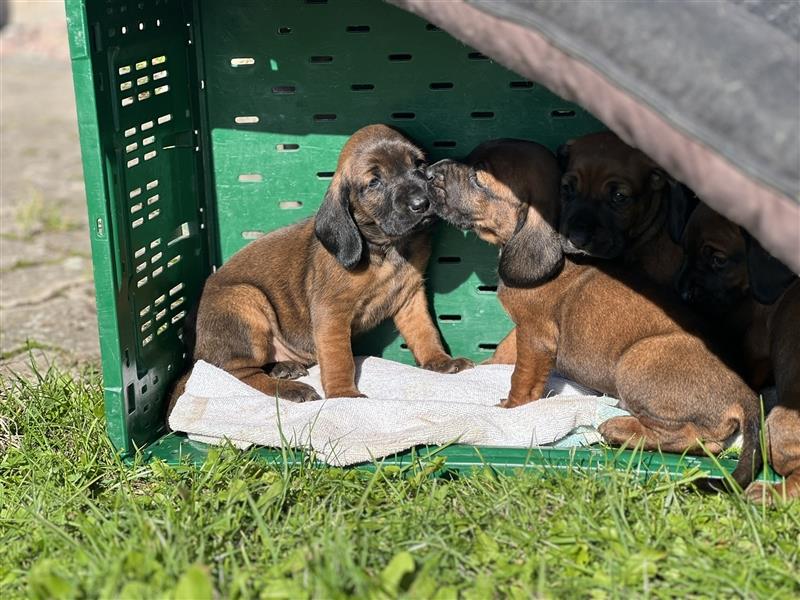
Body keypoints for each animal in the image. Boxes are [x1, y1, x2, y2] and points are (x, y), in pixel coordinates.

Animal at [169, 124, 468, 410]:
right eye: (374, 182)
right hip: (245, 298)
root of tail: (195, 351)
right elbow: (340, 359)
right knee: (237, 373)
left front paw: (440, 361)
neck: (386, 247)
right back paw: (289, 389)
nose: (422, 203)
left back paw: (283, 367)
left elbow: (424, 332)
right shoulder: (331, 312)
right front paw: (344, 395)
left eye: (418, 164)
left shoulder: (410, 295)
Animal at [432, 148, 764, 490]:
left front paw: (510, 408)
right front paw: (481, 368)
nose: (430, 172)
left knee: (695, 437)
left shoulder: (535, 335)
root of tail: (747, 395)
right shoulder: (522, 329)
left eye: (478, 176)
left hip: (636, 361)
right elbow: (505, 350)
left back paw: (621, 428)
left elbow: (522, 379)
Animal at [676, 205, 800, 502]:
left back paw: (768, 493)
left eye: (718, 260)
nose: (681, 294)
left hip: (775, 426)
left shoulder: (755, 350)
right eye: (684, 250)